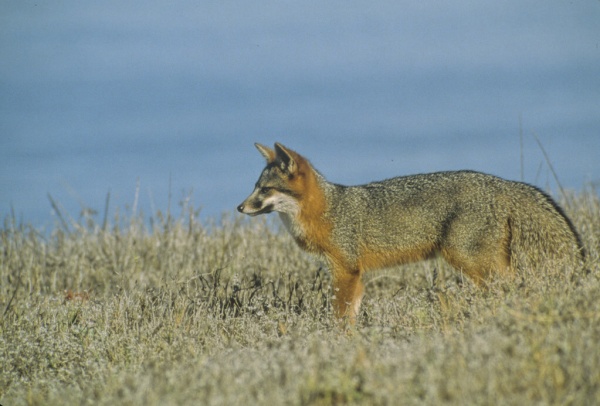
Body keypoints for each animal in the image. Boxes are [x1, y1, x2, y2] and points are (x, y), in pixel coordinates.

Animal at [237, 143, 584, 324]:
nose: (240, 207)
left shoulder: (345, 271)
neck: (327, 210)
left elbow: (340, 315)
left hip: (470, 260)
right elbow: (353, 313)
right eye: (254, 187)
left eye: (264, 190)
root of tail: (500, 183)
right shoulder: (354, 275)